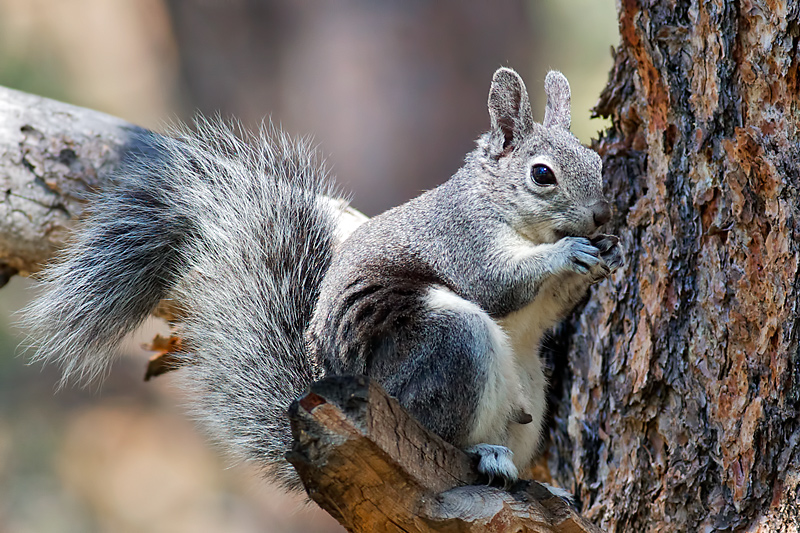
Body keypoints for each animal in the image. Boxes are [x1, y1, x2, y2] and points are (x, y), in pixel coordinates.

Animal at [23, 67, 622, 491]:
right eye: (541, 175)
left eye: (597, 161)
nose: (602, 214)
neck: (502, 207)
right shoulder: (460, 237)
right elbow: (494, 283)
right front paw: (568, 253)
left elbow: (549, 309)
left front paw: (606, 256)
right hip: (444, 346)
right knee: (447, 437)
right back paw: (484, 455)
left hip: (531, 383)